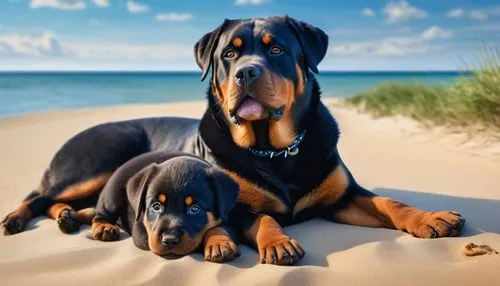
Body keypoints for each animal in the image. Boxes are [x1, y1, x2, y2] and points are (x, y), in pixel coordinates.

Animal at [91, 151, 240, 262]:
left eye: (195, 209)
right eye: (156, 206)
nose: (169, 240)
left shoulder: (230, 219)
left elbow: (219, 227)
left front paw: (219, 244)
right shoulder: (141, 232)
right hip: (112, 196)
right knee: (100, 214)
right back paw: (104, 227)